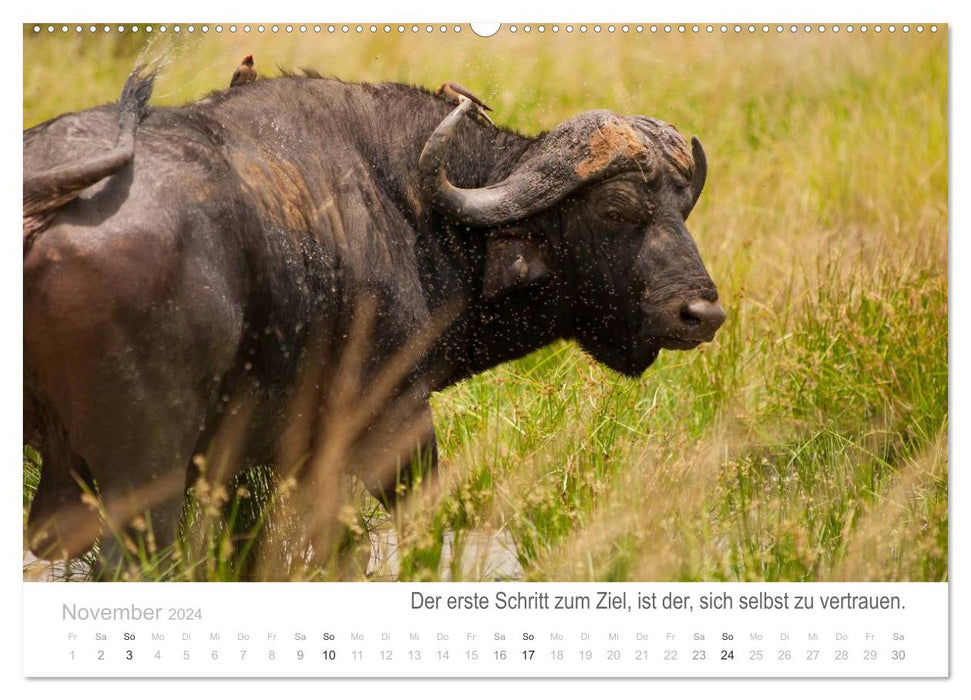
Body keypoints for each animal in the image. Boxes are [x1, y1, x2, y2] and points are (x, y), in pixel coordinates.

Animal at [22, 68, 724, 576]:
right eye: (616, 209)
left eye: (683, 207)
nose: (702, 313)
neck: (412, 207)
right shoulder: (395, 421)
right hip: (145, 475)